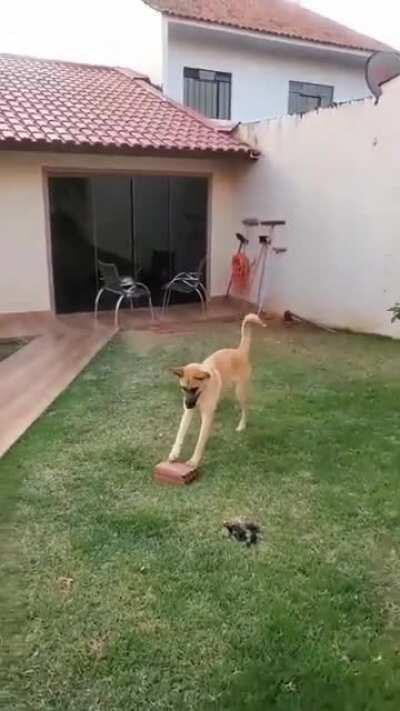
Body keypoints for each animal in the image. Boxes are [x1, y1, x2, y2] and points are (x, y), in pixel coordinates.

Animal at [169, 314, 266, 470]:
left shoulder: (206, 416)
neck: (203, 391)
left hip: (240, 392)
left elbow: (200, 441)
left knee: (245, 410)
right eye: (183, 388)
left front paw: (194, 460)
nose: (188, 405)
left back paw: (242, 425)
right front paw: (174, 453)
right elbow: (180, 434)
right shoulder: (188, 413)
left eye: (194, 389)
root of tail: (239, 351)